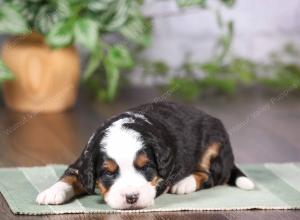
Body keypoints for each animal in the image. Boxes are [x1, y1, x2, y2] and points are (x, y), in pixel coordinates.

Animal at [36, 101, 254, 210]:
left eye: (145, 167)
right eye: (108, 173)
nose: (131, 198)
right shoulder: (83, 160)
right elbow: (71, 175)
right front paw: (52, 192)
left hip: (215, 140)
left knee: (211, 175)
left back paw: (184, 184)